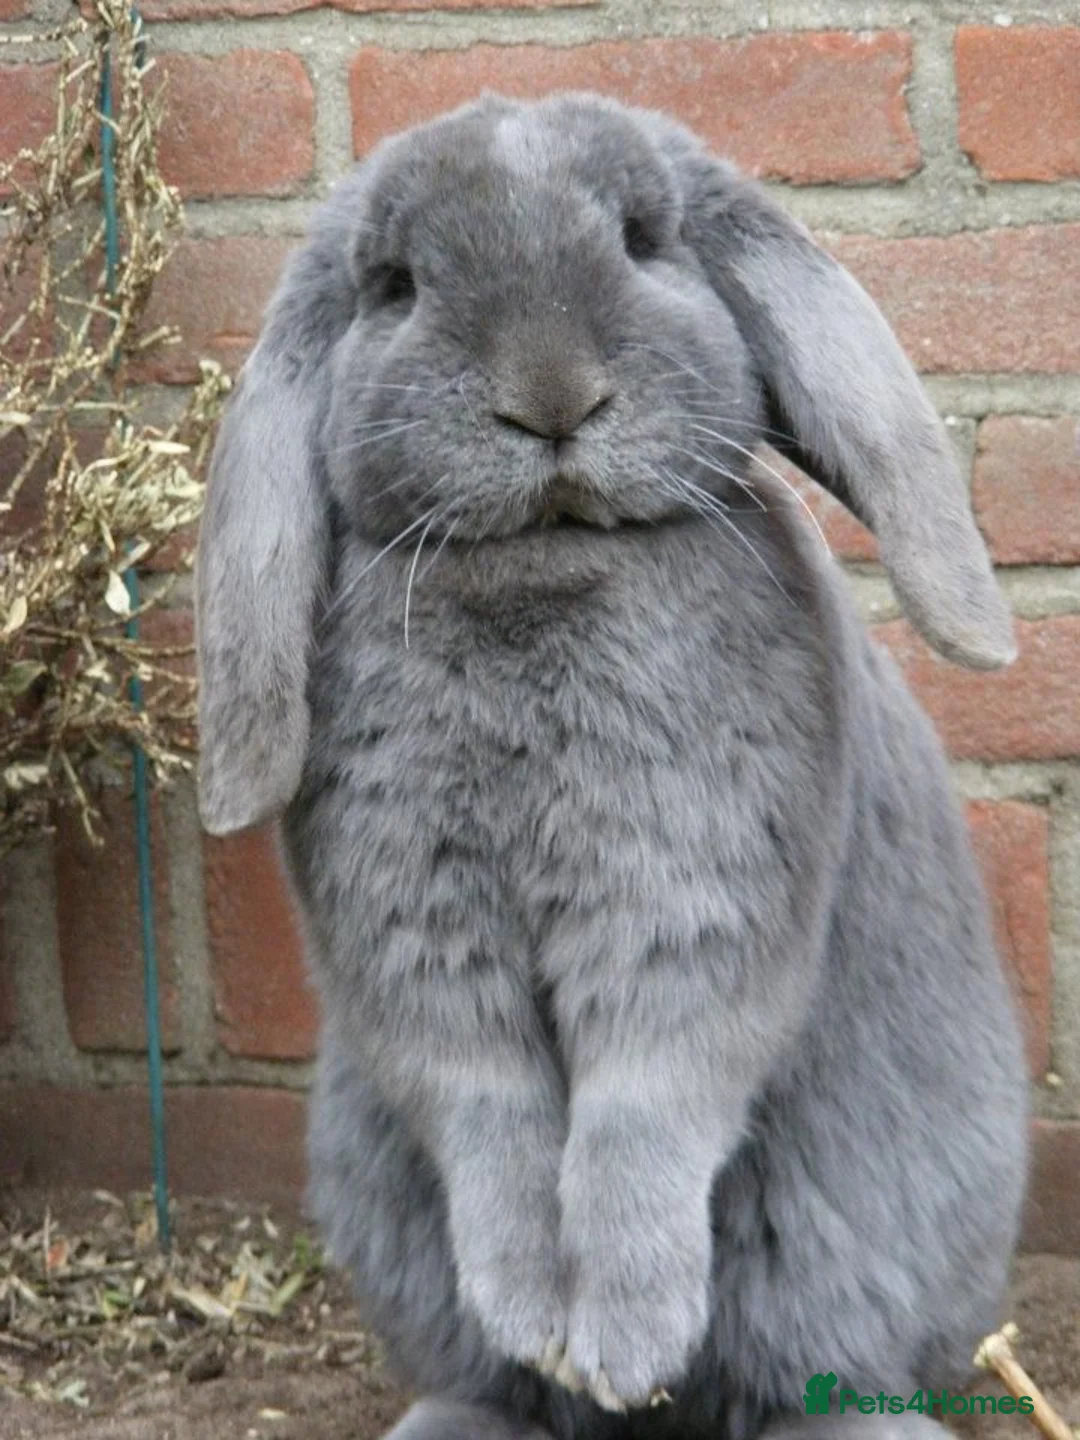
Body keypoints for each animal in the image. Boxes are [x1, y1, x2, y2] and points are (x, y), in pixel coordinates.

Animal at [195, 92, 1029, 1440]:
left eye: (645, 241)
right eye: (395, 287)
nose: (552, 398)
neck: (542, 576)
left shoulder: (688, 909)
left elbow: (646, 1109)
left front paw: (626, 1343)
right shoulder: (420, 943)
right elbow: (488, 1110)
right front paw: (543, 1323)